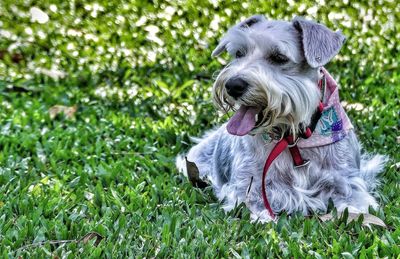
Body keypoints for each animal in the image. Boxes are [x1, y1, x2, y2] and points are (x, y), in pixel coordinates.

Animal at [176, 15, 388, 223]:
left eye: (279, 57)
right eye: (239, 53)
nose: (233, 85)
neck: (294, 137)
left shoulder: (347, 182)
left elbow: (355, 204)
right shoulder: (250, 186)